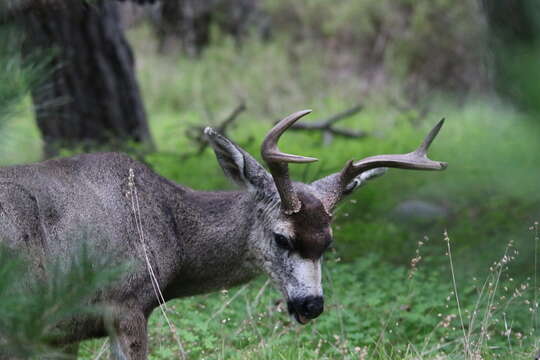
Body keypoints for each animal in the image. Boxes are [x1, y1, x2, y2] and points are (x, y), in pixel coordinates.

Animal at [0, 109, 448, 358]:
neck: (169, 229)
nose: (312, 305)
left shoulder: (60, 334)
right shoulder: (124, 305)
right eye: (282, 237)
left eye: (329, 242)